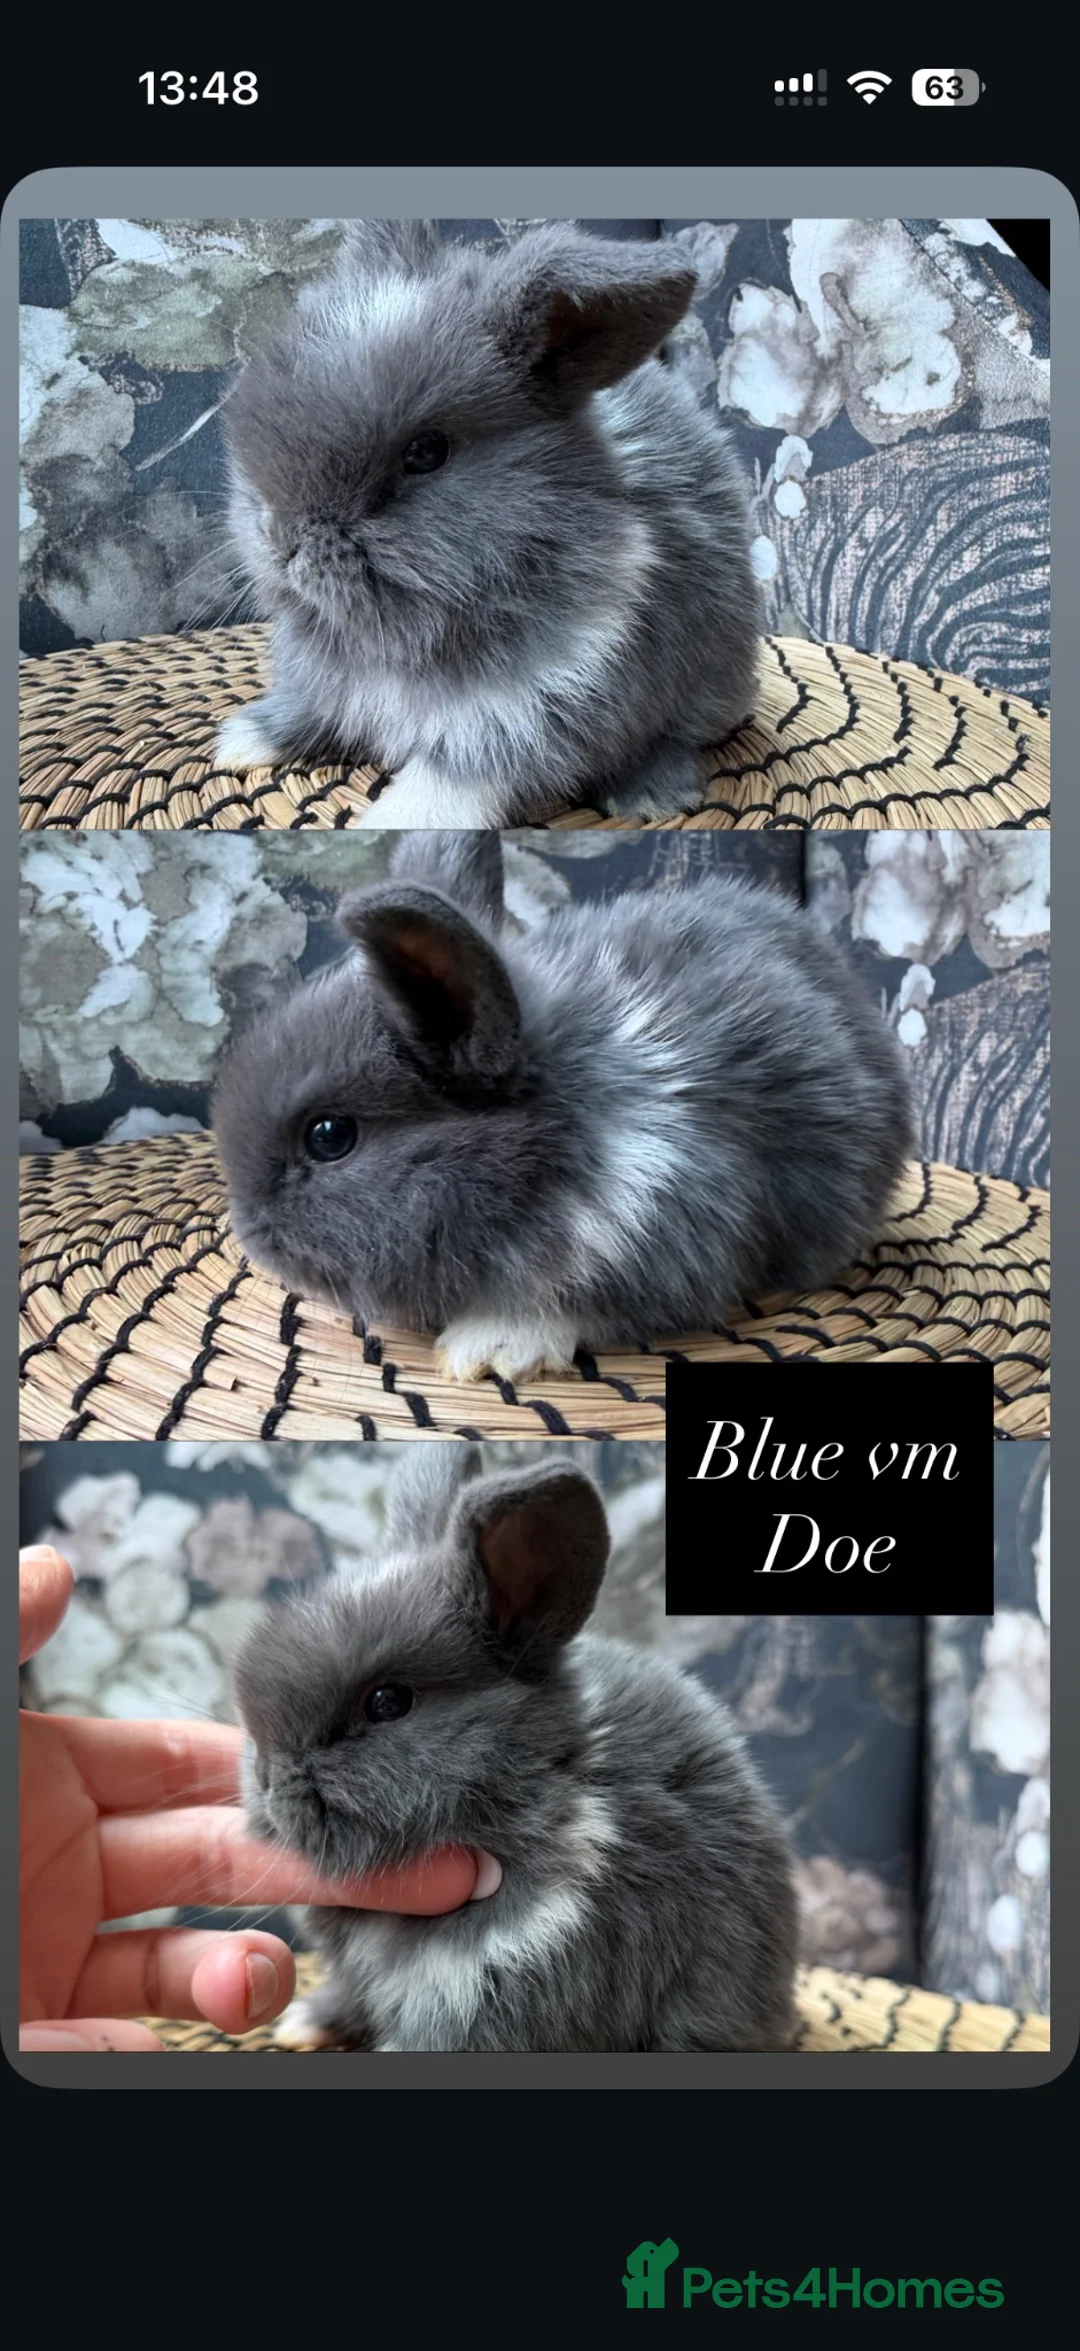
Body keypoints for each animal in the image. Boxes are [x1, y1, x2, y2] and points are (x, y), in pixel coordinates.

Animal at [214, 217, 760, 828]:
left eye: (427, 452)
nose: (278, 538)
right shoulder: (326, 685)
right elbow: (307, 710)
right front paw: (242, 741)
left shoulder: (529, 713)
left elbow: (447, 786)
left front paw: (385, 825)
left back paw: (653, 793)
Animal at [233, 1445, 800, 2052]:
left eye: (387, 1702)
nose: (267, 1778)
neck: (535, 1789)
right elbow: (350, 1992)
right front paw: (302, 2025)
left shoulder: (510, 1979)